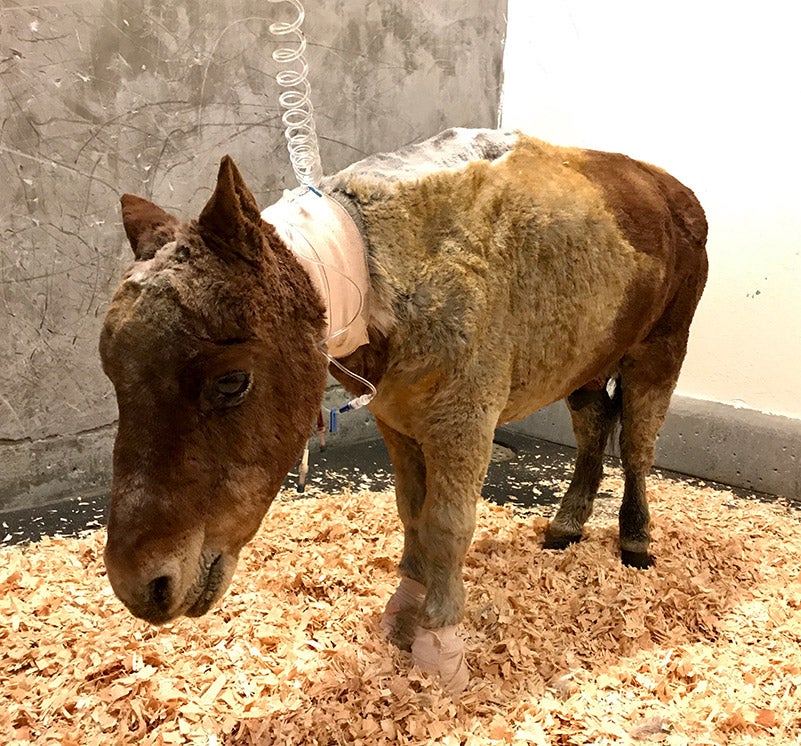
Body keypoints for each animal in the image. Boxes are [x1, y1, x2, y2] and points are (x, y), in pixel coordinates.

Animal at [99, 128, 708, 692]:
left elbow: (445, 525)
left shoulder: (463, 425)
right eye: (113, 375)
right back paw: (567, 524)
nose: (141, 586)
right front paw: (403, 614)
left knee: (638, 445)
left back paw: (635, 540)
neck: (387, 271)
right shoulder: (400, 422)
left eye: (231, 382)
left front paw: (440, 647)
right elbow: (411, 515)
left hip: (660, 349)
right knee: (593, 426)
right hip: (587, 359)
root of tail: (674, 190)